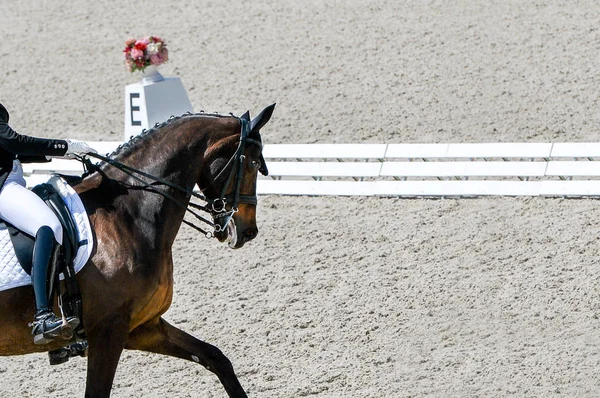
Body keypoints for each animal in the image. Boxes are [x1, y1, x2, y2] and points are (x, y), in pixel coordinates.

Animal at [0, 103, 276, 398]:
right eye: (254, 163)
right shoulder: (108, 332)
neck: (127, 214)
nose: (248, 231)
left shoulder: (143, 327)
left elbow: (216, 358)